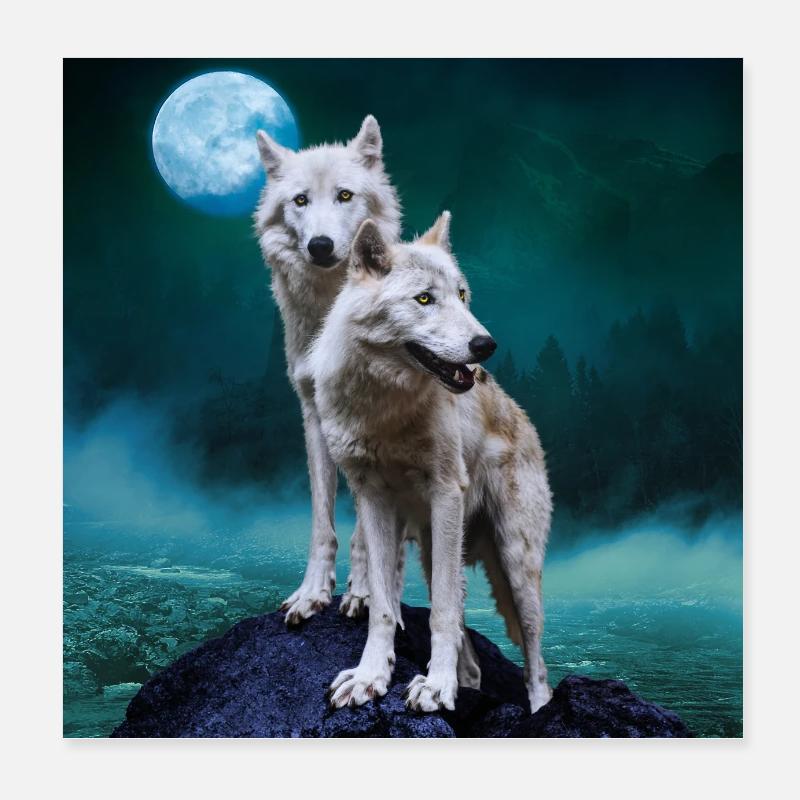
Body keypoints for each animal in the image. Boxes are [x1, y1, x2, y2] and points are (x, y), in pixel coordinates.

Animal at [254, 116, 401, 624]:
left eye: (344, 195)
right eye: (300, 200)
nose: (320, 246)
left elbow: (366, 529)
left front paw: (363, 592)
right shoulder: (314, 415)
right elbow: (322, 519)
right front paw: (312, 593)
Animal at [310, 212, 553, 714]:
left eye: (462, 295)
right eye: (424, 299)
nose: (486, 345)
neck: (385, 408)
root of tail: (524, 418)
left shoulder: (445, 494)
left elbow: (440, 612)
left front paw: (437, 687)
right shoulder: (372, 499)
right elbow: (384, 606)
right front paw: (370, 677)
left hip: (515, 565)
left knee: (536, 665)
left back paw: (538, 710)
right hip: (433, 547)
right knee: (471, 651)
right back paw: (467, 683)